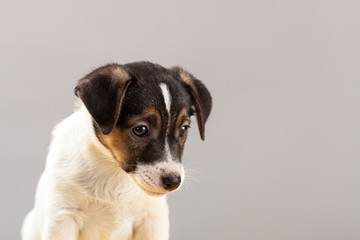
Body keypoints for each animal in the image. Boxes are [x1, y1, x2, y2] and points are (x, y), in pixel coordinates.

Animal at [21, 62, 212, 240]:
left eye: (184, 129)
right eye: (140, 130)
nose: (173, 181)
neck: (112, 170)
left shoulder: (152, 219)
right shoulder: (63, 216)